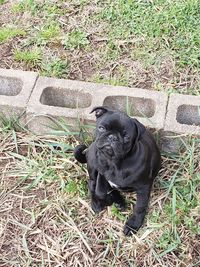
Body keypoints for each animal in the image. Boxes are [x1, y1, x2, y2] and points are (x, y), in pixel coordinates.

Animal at [74, 107, 161, 237]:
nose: (112, 137)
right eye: (101, 128)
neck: (115, 163)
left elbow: (140, 206)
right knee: (91, 183)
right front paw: (104, 200)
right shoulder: (102, 173)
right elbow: (100, 191)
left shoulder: (144, 187)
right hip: (93, 162)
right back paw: (101, 202)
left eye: (126, 137)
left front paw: (133, 224)